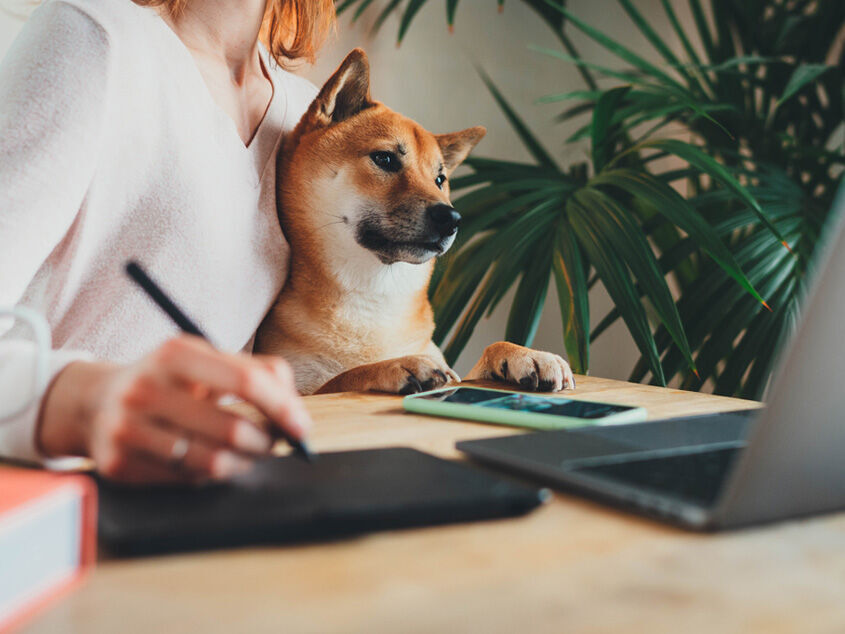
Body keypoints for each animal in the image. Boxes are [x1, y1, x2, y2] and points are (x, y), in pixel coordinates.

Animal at [256, 49, 572, 392]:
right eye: (385, 159)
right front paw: (397, 365)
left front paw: (526, 355)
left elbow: (485, 354)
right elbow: (344, 377)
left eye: (440, 179)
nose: (452, 218)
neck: (374, 298)